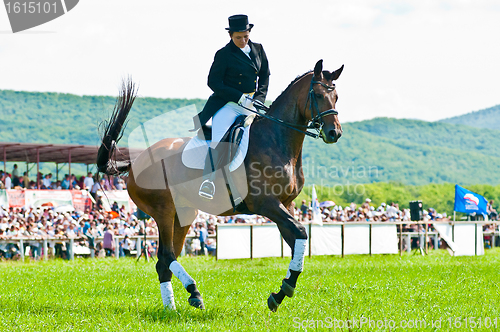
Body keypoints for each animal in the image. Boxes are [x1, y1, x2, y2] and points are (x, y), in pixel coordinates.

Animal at [98, 59, 344, 312]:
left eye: (336, 97)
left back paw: (173, 307)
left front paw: (280, 293)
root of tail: (136, 161)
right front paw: (284, 289)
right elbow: (301, 232)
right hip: (163, 210)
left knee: (164, 262)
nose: (334, 133)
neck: (276, 140)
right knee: (166, 256)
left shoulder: (287, 205)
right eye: (317, 94)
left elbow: (298, 241)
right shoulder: (267, 204)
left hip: (184, 213)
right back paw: (193, 291)